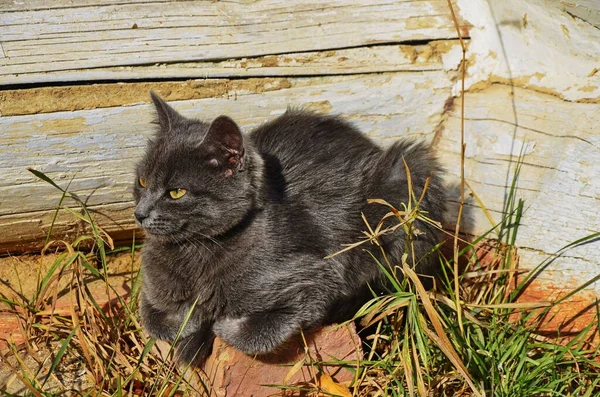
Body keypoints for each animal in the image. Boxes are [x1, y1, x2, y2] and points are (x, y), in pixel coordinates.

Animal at [135, 92, 446, 366]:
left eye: (176, 192)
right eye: (141, 181)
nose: (139, 213)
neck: (196, 253)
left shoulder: (314, 278)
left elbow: (257, 333)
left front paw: (216, 323)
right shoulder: (148, 281)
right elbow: (151, 317)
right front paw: (190, 320)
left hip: (406, 178)